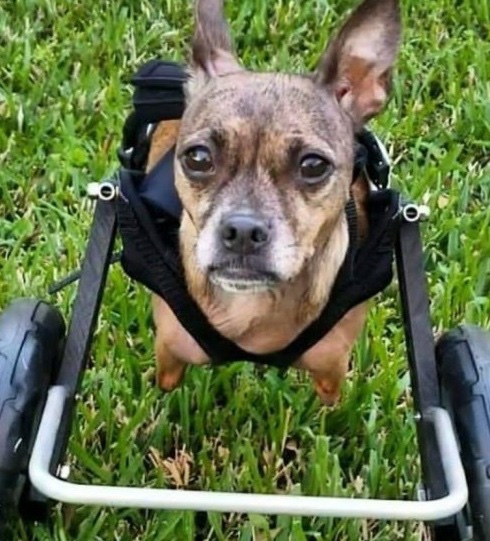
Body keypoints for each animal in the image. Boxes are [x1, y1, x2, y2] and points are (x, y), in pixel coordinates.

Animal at [147, 0, 400, 404]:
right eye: (198, 158)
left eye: (313, 166)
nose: (242, 230)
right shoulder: (169, 355)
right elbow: (166, 391)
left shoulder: (331, 372)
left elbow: (329, 410)